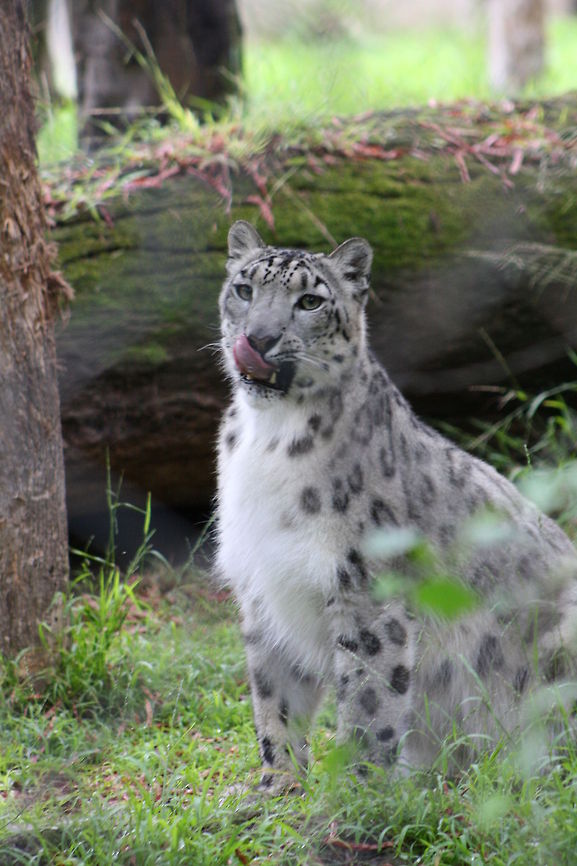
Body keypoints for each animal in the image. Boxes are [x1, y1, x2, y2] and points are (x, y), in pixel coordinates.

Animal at [216, 219, 577, 792]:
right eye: (244, 289)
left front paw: (355, 793)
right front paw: (278, 785)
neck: (267, 437)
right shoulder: (262, 584)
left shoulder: (368, 594)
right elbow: (275, 697)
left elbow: (369, 699)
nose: (259, 338)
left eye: (311, 300)